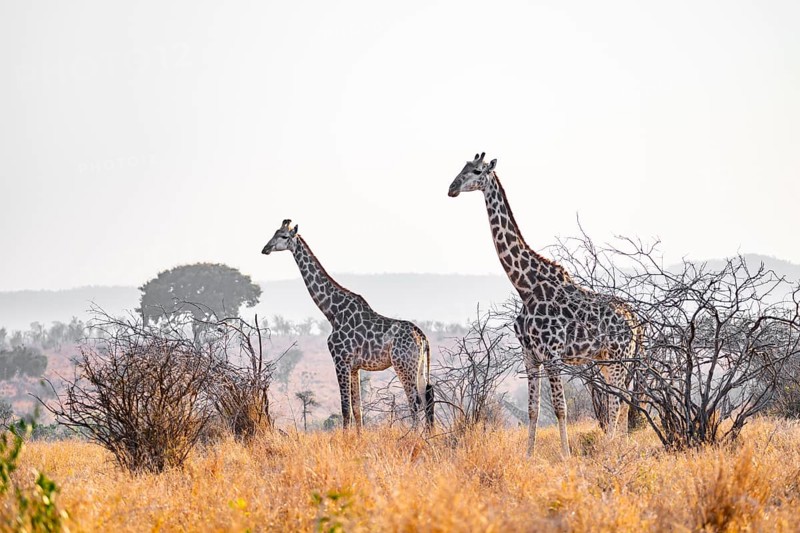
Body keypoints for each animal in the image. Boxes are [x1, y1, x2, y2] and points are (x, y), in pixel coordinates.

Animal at [261, 219, 434, 430]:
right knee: (427, 398)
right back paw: (429, 435)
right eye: (274, 233)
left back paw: (413, 435)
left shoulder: (340, 360)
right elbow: (357, 409)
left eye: (284, 236)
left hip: (403, 365)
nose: (265, 249)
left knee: (414, 401)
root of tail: (422, 338)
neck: (332, 312)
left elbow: (345, 409)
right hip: (419, 367)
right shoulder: (354, 367)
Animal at [448, 153, 643, 457]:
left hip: (619, 356)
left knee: (617, 401)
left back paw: (611, 448)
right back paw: (615, 445)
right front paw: (528, 455)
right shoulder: (530, 354)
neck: (525, 286)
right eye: (462, 168)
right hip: (606, 359)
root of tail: (635, 320)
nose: (452, 188)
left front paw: (566, 455)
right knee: (619, 401)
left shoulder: (552, 354)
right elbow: (533, 410)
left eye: (477, 171)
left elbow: (561, 408)